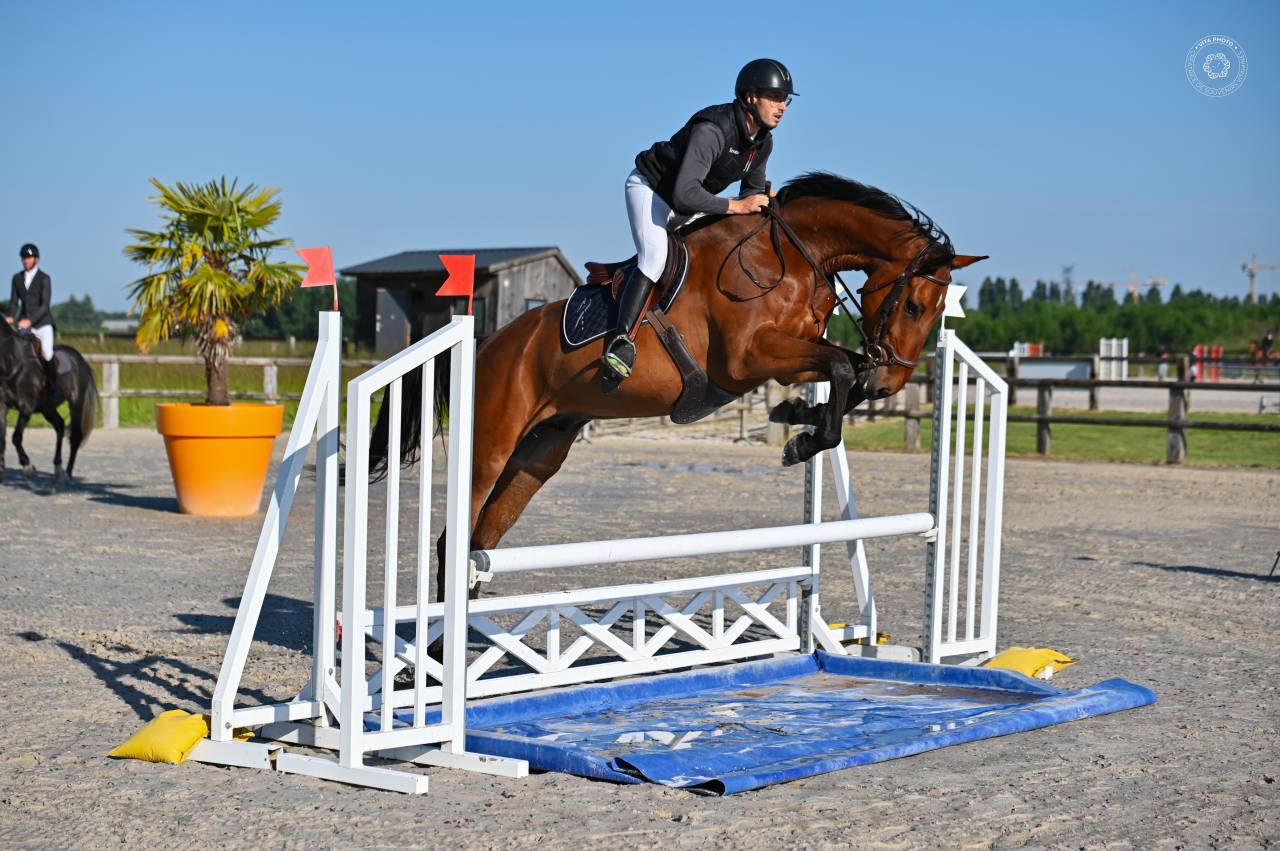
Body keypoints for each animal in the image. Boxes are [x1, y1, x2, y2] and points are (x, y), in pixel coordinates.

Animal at [0, 320, 98, 485]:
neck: (11, 360)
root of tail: (79, 358)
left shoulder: (26, 407)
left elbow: (16, 437)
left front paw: (27, 466)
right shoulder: (2, 406)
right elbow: (2, 437)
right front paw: (1, 470)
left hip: (76, 404)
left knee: (75, 438)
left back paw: (67, 474)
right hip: (47, 408)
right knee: (60, 426)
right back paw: (58, 469)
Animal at [369, 172, 986, 593]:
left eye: (939, 311)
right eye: (912, 304)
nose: (891, 385)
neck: (790, 255)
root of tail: (487, 345)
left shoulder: (786, 358)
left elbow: (843, 368)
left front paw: (799, 422)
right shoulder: (746, 358)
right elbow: (839, 366)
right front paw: (802, 436)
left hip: (539, 454)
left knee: (481, 543)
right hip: (491, 446)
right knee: (454, 541)